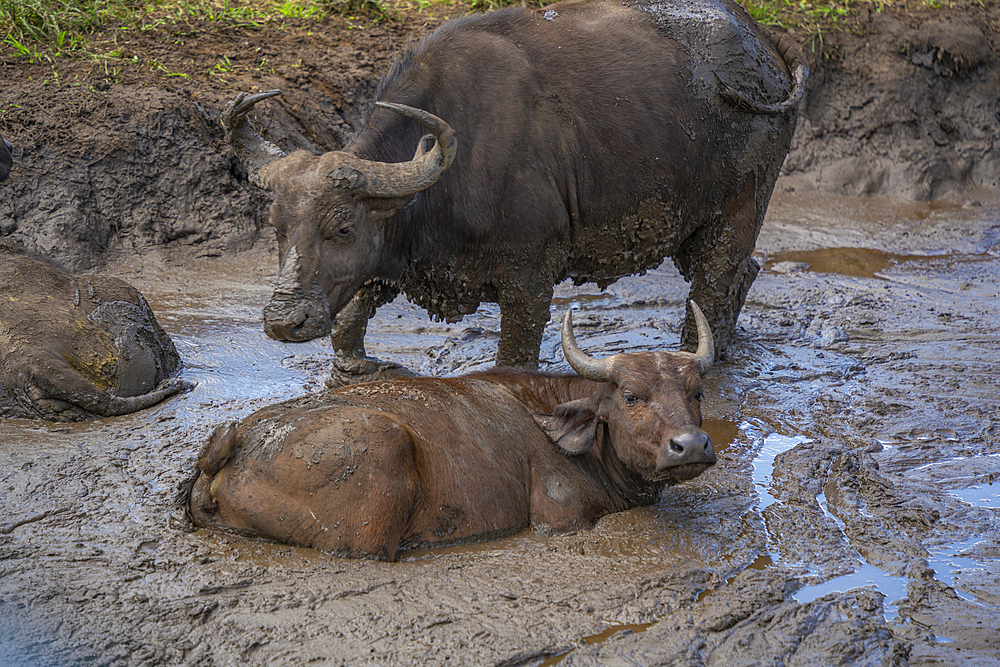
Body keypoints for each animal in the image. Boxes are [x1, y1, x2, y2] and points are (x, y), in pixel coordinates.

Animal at [188, 302, 720, 560]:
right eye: (630, 396)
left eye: (696, 392)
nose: (690, 446)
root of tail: (238, 442)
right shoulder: (559, 519)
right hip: (377, 475)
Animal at [223, 0, 808, 378]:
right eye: (277, 227)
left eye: (342, 228)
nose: (284, 321)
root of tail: (767, 42)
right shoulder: (387, 263)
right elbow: (348, 327)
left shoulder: (530, 279)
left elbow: (514, 359)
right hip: (692, 224)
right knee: (742, 273)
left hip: (738, 208)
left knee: (713, 285)